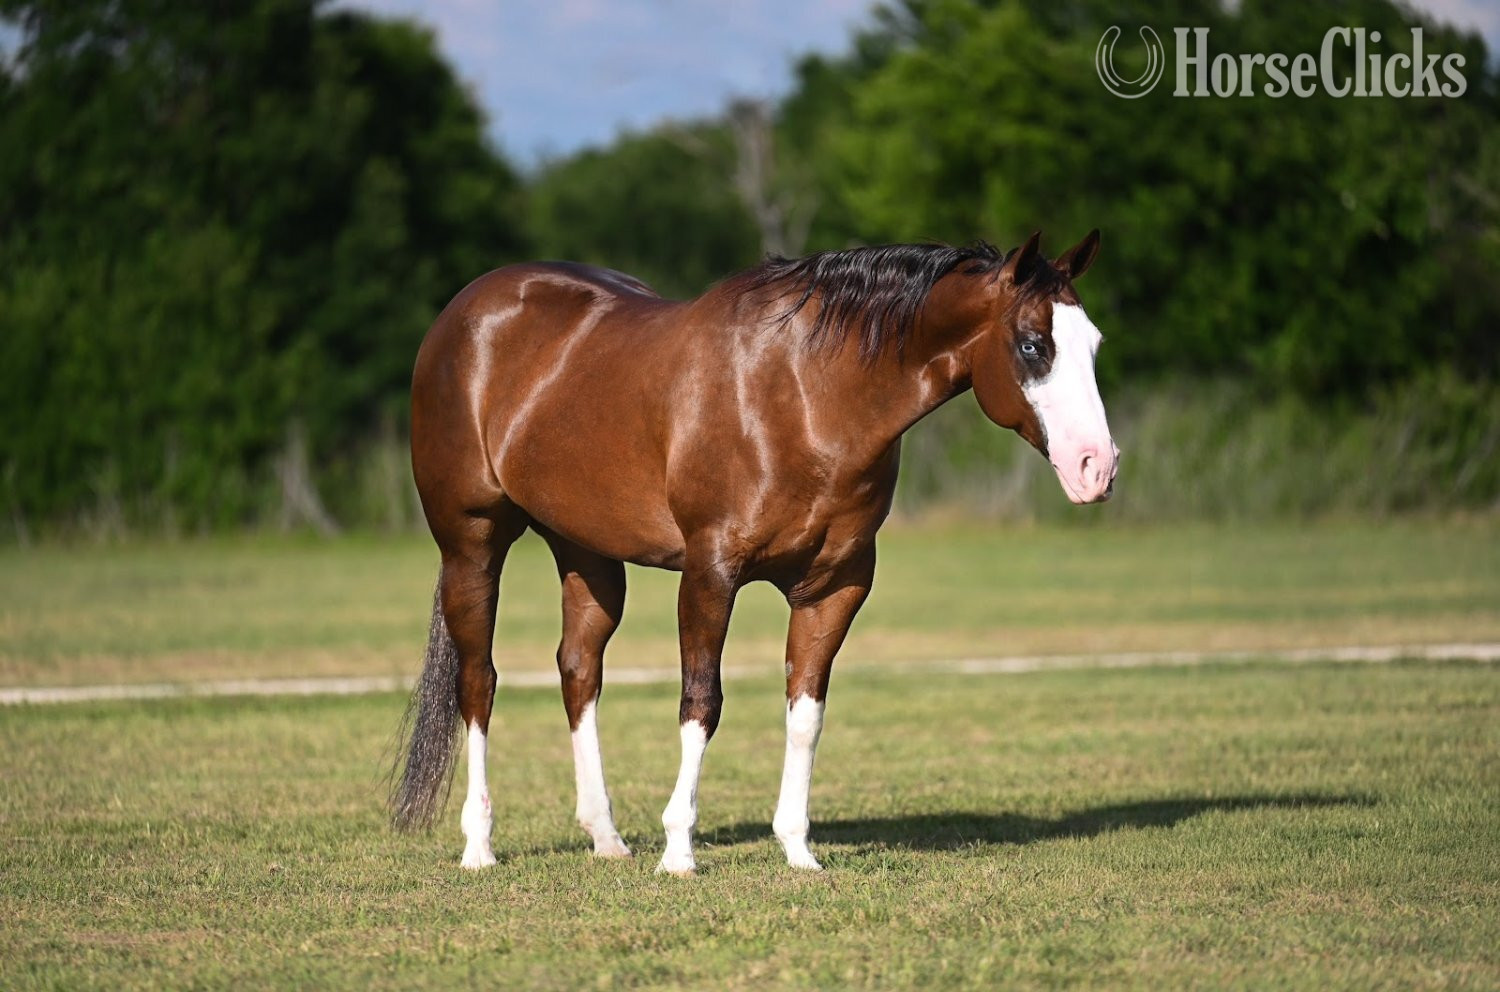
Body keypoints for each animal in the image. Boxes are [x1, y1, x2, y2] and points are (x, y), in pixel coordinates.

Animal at [390, 230, 1118, 874]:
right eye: (1032, 344)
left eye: (1094, 345)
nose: (1097, 467)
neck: (804, 396)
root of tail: (467, 310)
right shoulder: (709, 574)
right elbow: (701, 702)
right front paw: (679, 853)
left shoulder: (835, 587)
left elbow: (805, 713)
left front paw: (798, 850)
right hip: (472, 543)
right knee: (478, 681)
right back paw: (479, 846)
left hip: (587, 552)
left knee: (578, 671)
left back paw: (606, 838)